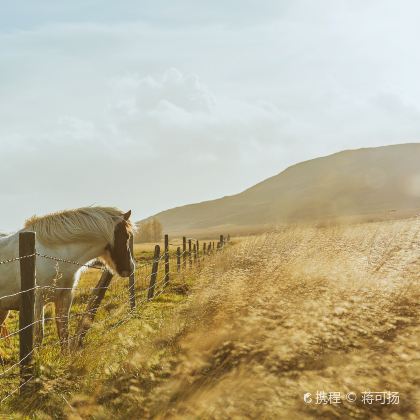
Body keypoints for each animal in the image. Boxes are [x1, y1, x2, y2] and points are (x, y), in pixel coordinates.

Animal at [0, 208, 135, 352]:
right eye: (127, 236)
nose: (131, 267)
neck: (54, 256)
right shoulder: (38, 301)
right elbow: (38, 337)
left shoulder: (64, 296)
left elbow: (64, 334)